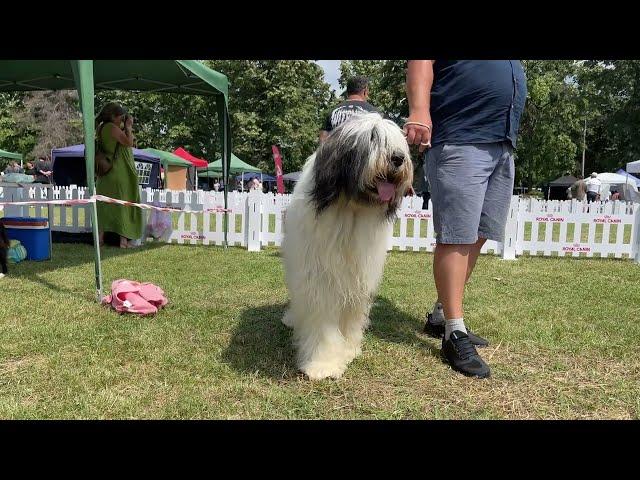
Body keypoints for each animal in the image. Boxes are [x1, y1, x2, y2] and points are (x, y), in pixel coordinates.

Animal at [282, 113, 412, 378]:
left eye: (399, 143)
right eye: (372, 137)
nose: (398, 158)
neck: (351, 208)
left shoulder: (358, 278)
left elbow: (352, 316)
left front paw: (350, 349)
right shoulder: (320, 278)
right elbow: (322, 322)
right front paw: (322, 364)